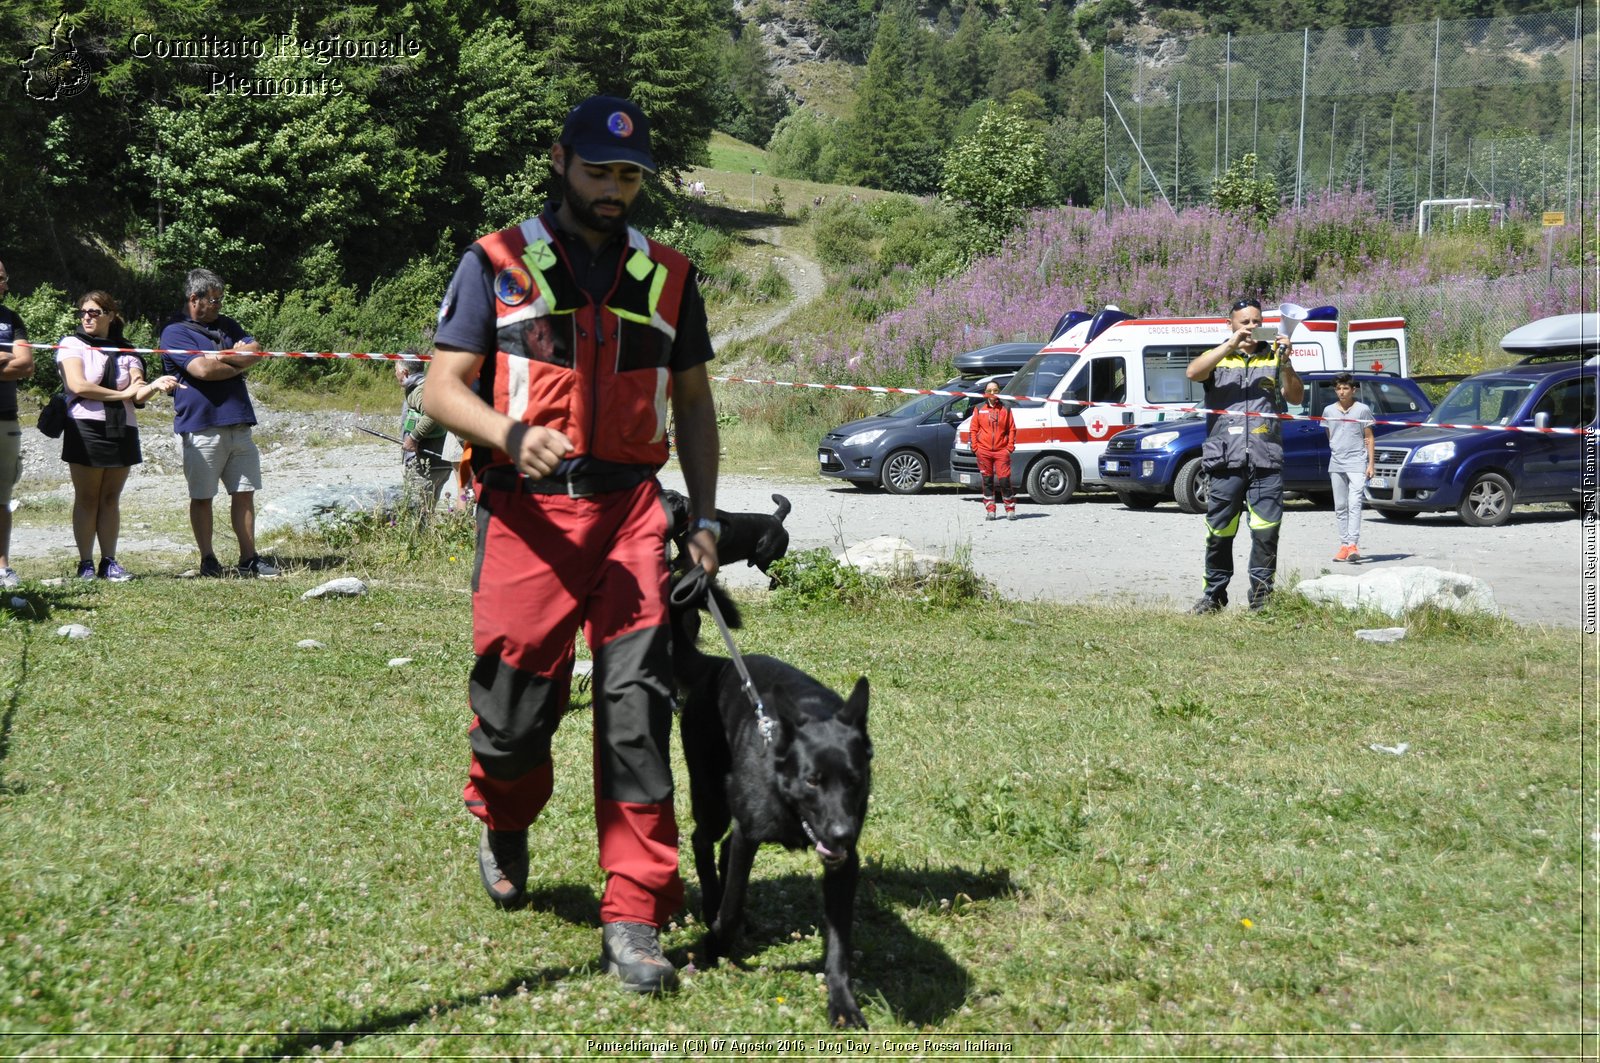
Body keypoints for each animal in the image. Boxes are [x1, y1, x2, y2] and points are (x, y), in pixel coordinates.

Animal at [665, 576, 870, 1024]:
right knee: (704, 842)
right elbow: (731, 905)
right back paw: (711, 905)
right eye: (812, 780)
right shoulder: (750, 834)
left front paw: (842, 1002)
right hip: (712, 799)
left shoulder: (843, 866)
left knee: (723, 847)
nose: (842, 835)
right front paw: (715, 943)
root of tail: (717, 665)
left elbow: (839, 944)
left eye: (854, 780)